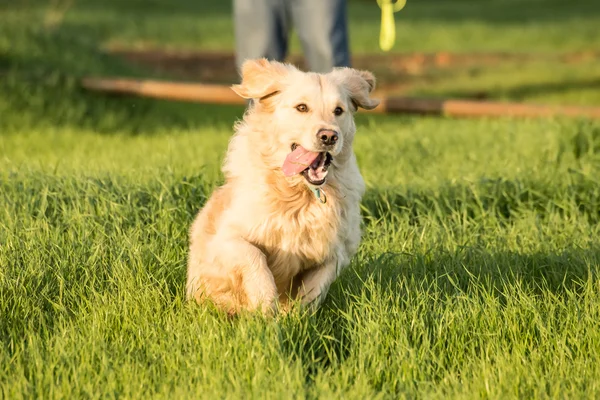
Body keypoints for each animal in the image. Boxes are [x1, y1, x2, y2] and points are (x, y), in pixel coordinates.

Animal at [185, 58, 378, 316]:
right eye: (302, 107)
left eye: (338, 110)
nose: (329, 136)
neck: (298, 194)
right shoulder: (225, 239)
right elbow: (255, 257)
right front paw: (266, 306)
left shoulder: (337, 251)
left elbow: (316, 286)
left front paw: (298, 315)